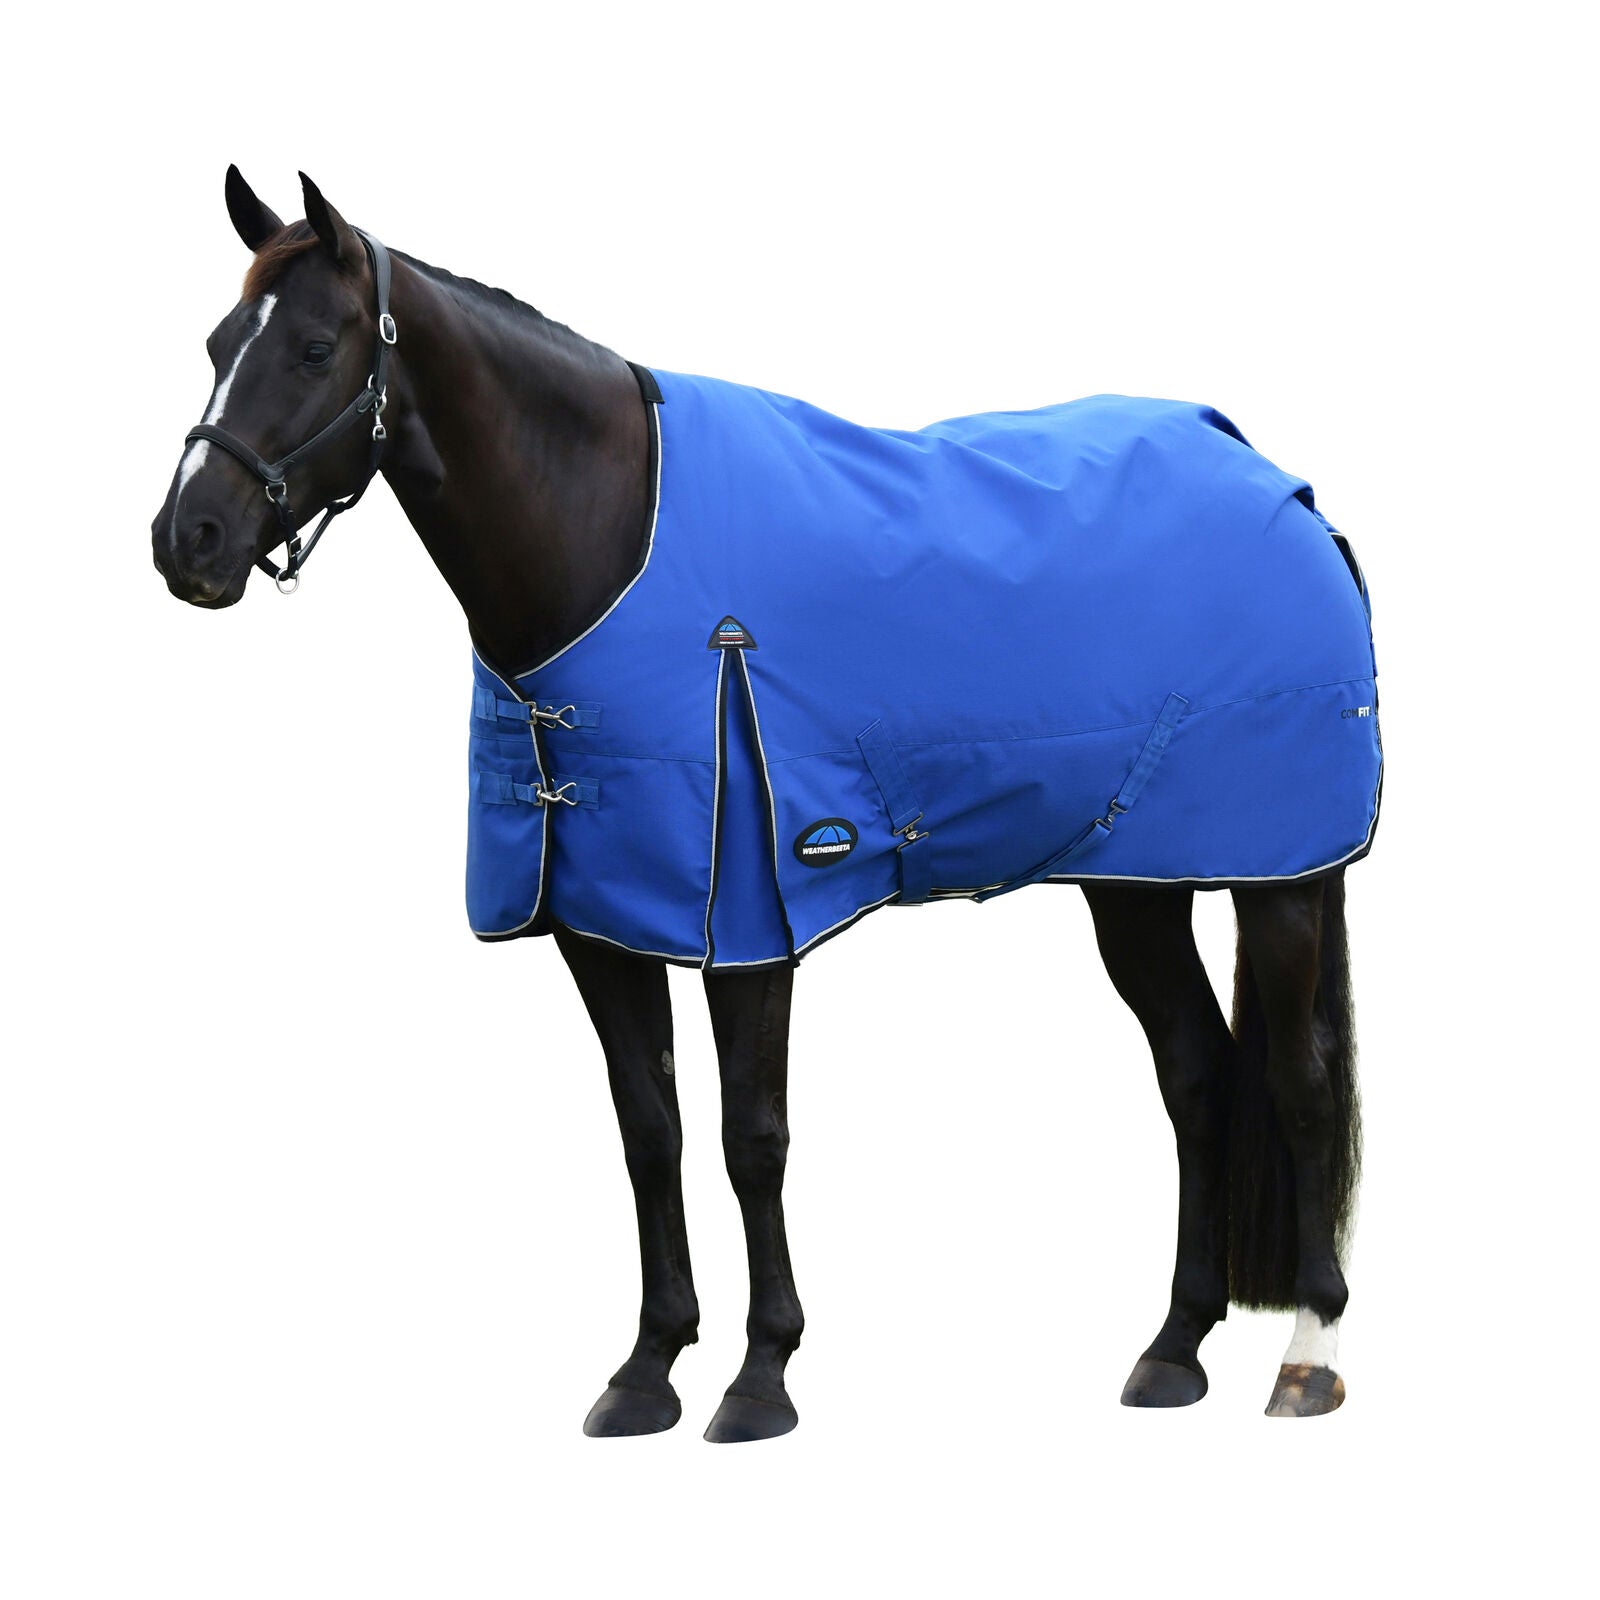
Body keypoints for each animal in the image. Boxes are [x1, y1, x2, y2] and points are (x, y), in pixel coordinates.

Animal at [152, 168, 1370, 1440]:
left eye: (314, 346)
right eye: (218, 342)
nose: (187, 540)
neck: (608, 538)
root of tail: (1283, 489)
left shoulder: (747, 916)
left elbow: (752, 1136)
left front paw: (760, 1373)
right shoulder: (600, 922)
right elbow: (651, 1131)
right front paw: (647, 1366)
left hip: (1281, 877)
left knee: (1295, 1079)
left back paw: (1307, 1353)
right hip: (1133, 880)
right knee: (1195, 1071)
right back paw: (1174, 1347)